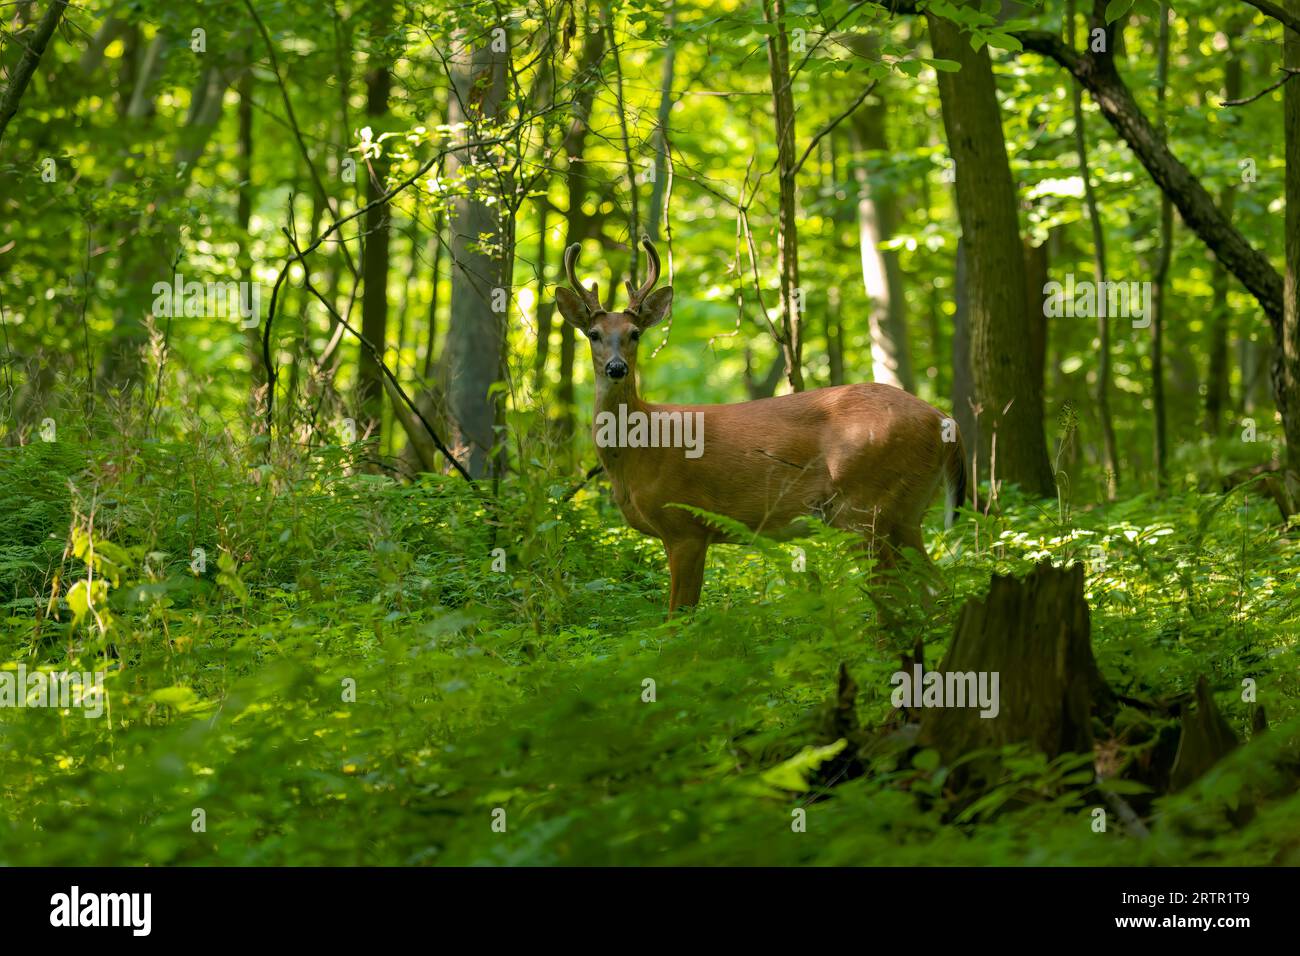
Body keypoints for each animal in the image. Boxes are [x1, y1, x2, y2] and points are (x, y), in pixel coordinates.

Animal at [554, 237, 968, 614]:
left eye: (635, 333)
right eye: (593, 334)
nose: (616, 367)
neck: (639, 449)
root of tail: (946, 422)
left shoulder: (686, 525)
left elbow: (678, 618)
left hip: (866, 504)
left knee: (895, 596)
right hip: (907, 511)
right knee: (935, 588)